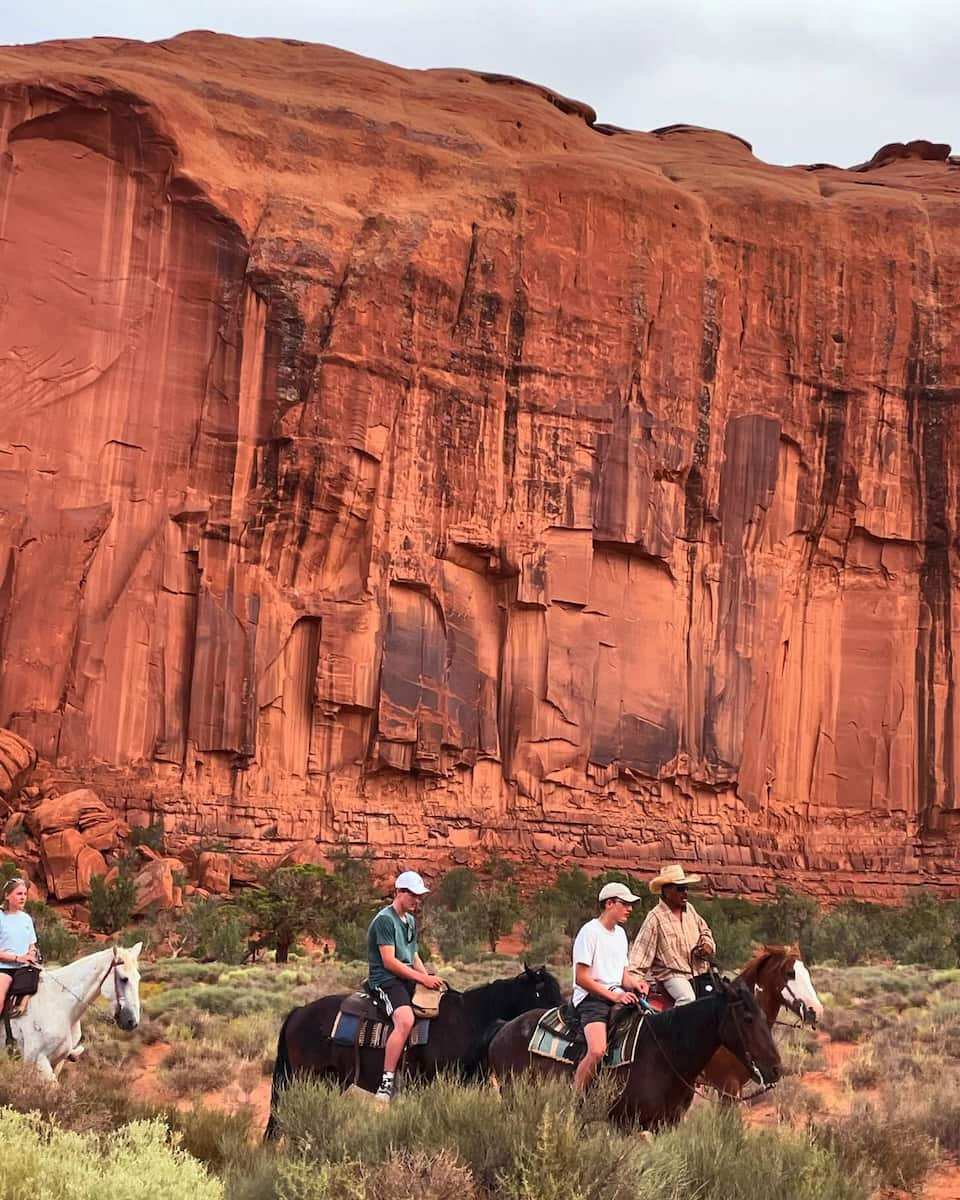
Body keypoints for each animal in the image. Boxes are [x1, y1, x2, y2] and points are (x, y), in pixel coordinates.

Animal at [4, 940, 140, 1084]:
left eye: (138, 978)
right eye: (124, 979)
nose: (132, 1022)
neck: (60, 1006)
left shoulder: (57, 1062)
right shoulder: (38, 1060)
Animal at [264, 960, 561, 1137]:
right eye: (541, 993)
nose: (559, 1018)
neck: (469, 1020)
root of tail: (298, 1012)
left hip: (330, 1080)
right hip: (305, 1078)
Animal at [487, 979, 777, 1128]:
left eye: (766, 1017)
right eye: (748, 1019)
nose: (775, 1068)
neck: (665, 1054)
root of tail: (504, 1029)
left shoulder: (664, 1127)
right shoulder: (626, 1125)